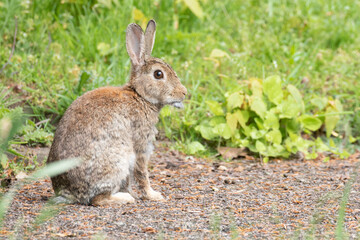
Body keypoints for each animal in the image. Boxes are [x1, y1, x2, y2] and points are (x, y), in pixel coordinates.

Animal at [46, 19, 187, 205]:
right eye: (158, 74)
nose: (184, 93)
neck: (140, 96)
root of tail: (68, 192)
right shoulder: (140, 145)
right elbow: (142, 174)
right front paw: (153, 195)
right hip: (117, 161)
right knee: (98, 200)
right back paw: (125, 198)